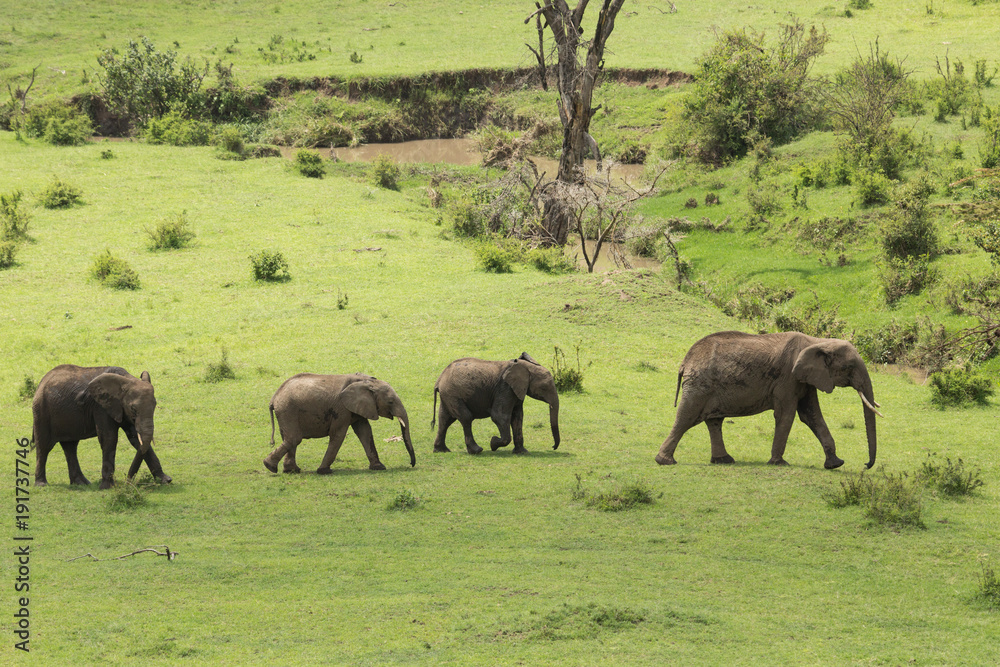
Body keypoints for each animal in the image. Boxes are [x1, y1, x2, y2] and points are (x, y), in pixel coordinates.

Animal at [32, 364, 172, 489]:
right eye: (133, 408)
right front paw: (107, 487)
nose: (128, 482)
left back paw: (81, 484)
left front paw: (166, 481)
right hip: (41, 411)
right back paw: (41, 484)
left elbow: (135, 438)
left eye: (155, 405)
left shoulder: (120, 408)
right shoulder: (101, 407)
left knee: (70, 446)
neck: (126, 379)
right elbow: (109, 438)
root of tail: (41, 382)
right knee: (44, 447)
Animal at [263, 373, 415, 474]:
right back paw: (270, 467)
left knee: (289, 439)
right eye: (390, 401)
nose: (411, 464)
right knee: (294, 438)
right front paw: (324, 471)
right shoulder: (341, 409)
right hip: (287, 410)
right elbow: (338, 435)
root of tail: (274, 397)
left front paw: (379, 468)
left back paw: (291, 471)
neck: (366, 381)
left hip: (286, 411)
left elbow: (365, 432)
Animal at [431, 352, 560, 455]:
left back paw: (441, 450)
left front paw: (522, 453)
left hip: (448, 395)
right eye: (544, 388)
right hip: (452, 393)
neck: (524, 366)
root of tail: (439, 379)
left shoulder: (516, 391)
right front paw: (493, 443)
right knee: (466, 417)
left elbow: (517, 417)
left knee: (445, 419)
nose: (553, 447)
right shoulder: (505, 389)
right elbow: (499, 416)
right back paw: (477, 451)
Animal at [654, 331, 881, 469]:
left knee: (714, 421)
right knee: (687, 417)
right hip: (699, 384)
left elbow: (811, 416)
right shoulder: (788, 378)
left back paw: (723, 461)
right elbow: (787, 414)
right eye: (848, 367)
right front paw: (778, 463)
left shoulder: (806, 379)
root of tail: (685, 361)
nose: (866, 465)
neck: (817, 341)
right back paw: (665, 462)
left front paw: (835, 464)